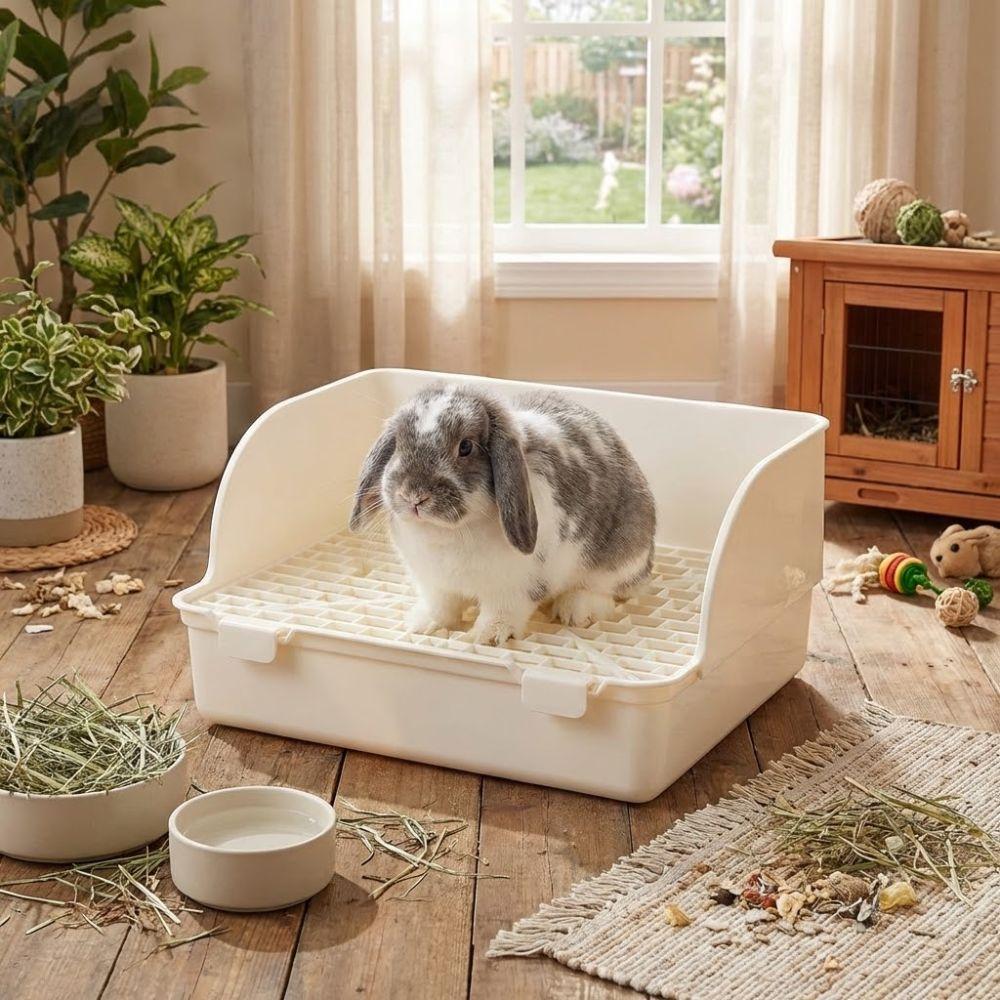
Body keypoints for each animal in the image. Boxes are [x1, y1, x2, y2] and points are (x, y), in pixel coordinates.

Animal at [349, 382, 656, 646]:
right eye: (399, 442)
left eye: (465, 447)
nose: (413, 495)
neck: (449, 531)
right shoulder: (436, 584)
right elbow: (441, 607)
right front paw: (424, 624)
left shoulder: (515, 588)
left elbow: (502, 613)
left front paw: (487, 636)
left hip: (618, 559)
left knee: (607, 591)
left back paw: (575, 610)